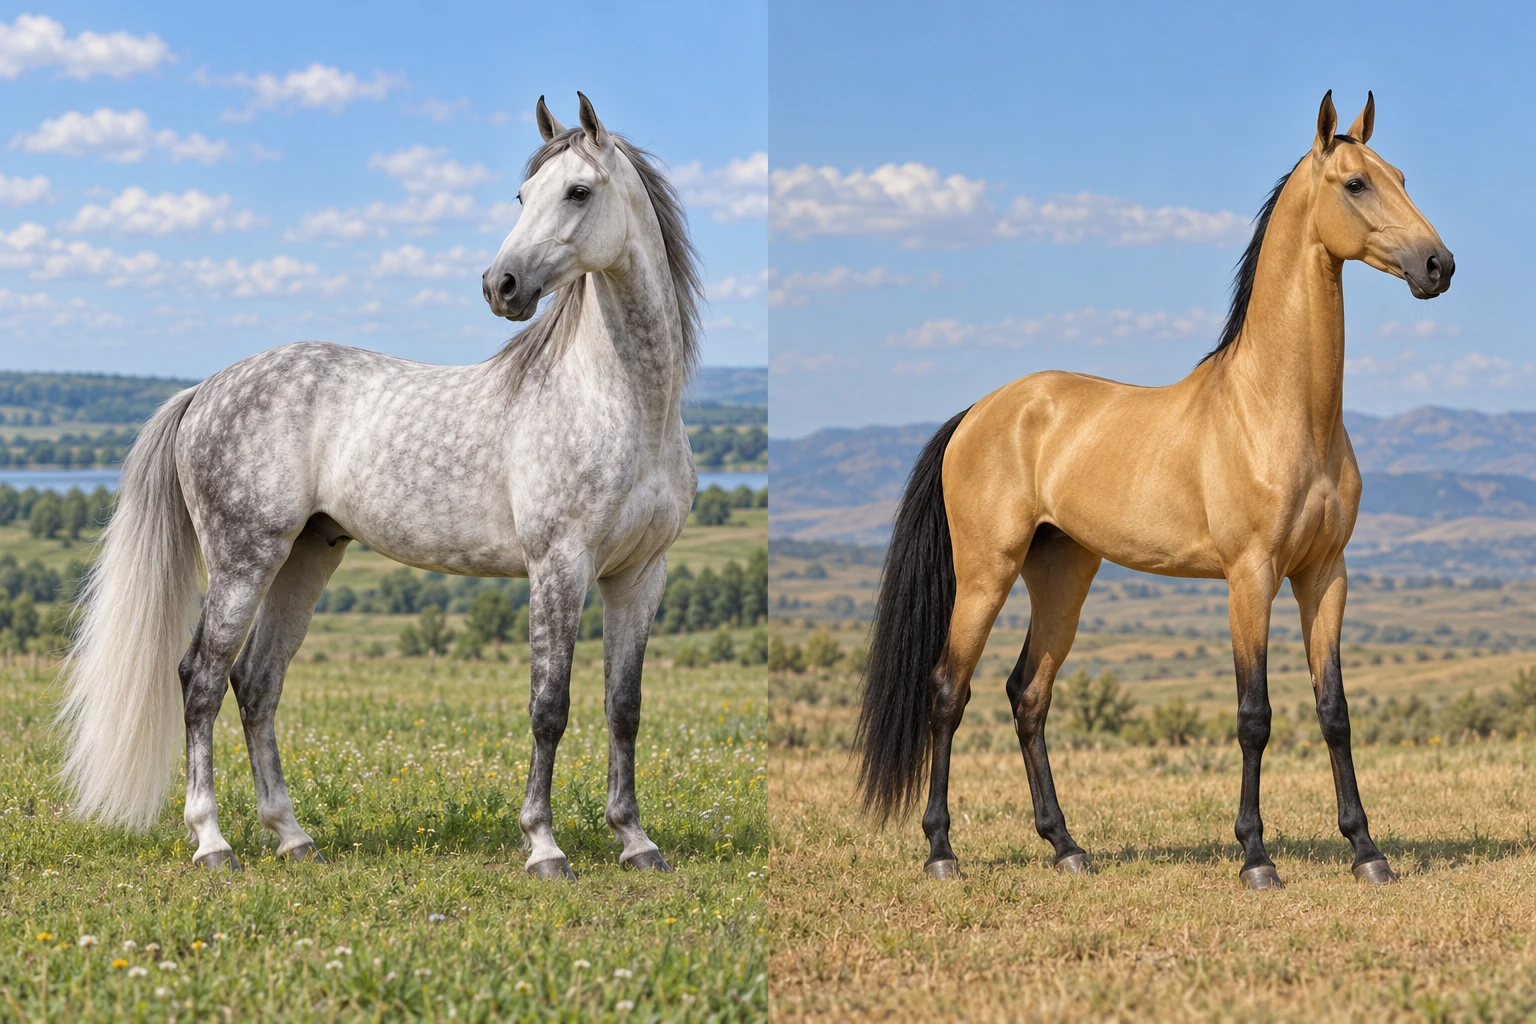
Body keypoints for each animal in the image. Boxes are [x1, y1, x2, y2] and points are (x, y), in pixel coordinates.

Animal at [58, 93, 701, 880]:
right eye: (523, 195)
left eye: (579, 191)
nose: (501, 286)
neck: (623, 403)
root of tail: (204, 390)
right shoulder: (559, 566)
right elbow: (549, 707)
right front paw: (544, 847)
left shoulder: (639, 574)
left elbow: (624, 707)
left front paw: (636, 840)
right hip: (245, 559)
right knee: (202, 679)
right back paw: (213, 841)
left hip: (306, 556)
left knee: (257, 683)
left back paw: (293, 836)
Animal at [857, 91, 1453, 889]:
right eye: (1356, 183)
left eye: (1403, 176)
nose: (1438, 265)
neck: (1278, 409)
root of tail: (980, 412)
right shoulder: (1251, 576)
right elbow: (1255, 715)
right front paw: (1255, 857)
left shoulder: (1325, 575)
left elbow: (1334, 711)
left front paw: (1367, 851)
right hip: (986, 572)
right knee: (949, 691)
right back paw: (942, 851)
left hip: (1063, 575)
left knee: (1028, 695)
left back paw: (1067, 847)